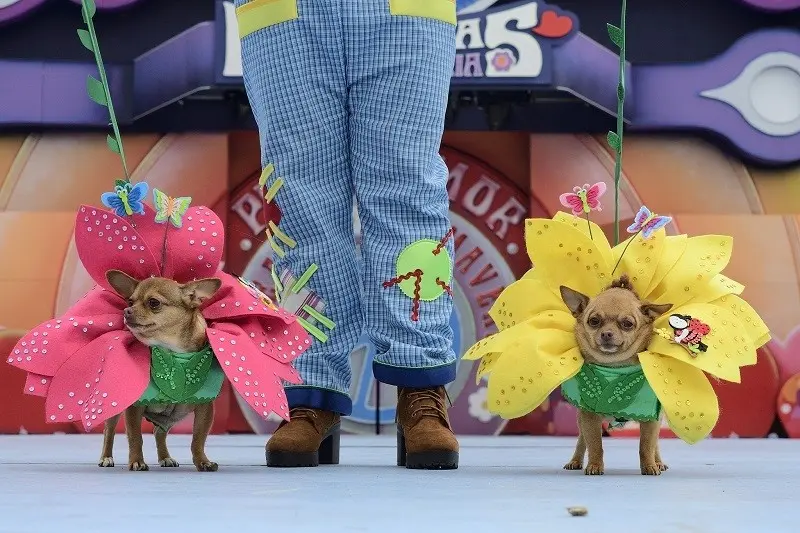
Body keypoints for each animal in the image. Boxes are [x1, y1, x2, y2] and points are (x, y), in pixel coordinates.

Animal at [101, 270, 225, 470]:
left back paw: (165, 457)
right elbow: (135, 437)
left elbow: (198, 439)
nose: (126, 311)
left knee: (159, 432)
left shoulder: (205, 408)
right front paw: (136, 461)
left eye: (154, 302)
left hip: (173, 415)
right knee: (109, 430)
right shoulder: (133, 408)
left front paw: (202, 461)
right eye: (130, 301)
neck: (172, 352)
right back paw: (106, 457)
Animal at [560, 274, 672, 474]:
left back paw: (658, 462)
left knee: (655, 445)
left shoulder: (651, 419)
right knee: (582, 441)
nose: (606, 334)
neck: (614, 368)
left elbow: (646, 445)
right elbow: (595, 444)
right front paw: (595, 465)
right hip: (581, 420)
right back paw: (575, 461)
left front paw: (649, 466)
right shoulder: (589, 416)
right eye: (594, 321)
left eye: (627, 324)